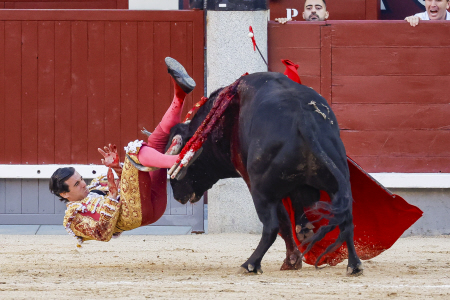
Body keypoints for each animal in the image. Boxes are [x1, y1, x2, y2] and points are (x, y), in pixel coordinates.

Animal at [167, 71, 364, 276]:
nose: (177, 195)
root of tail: (304, 120)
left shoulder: (252, 180)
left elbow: (283, 220)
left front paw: (292, 260)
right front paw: (301, 238)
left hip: (261, 191)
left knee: (272, 226)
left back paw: (250, 264)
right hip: (336, 182)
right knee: (347, 220)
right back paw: (354, 265)